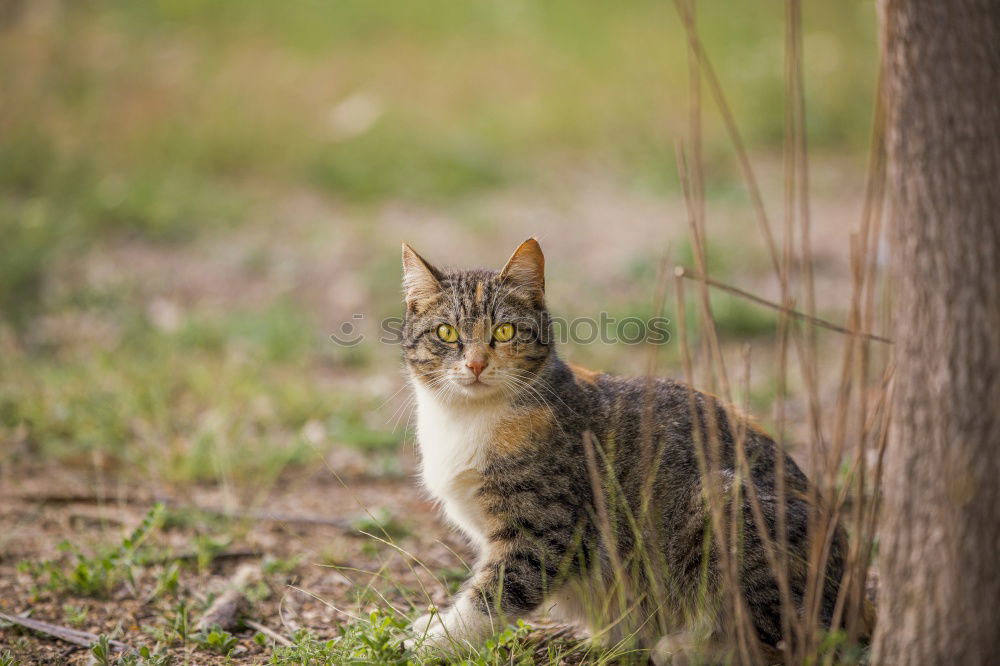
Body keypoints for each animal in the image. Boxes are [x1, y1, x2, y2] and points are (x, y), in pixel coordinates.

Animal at [398, 237, 852, 660]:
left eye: (505, 331)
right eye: (446, 333)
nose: (475, 364)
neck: (466, 418)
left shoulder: (547, 532)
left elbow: (494, 594)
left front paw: (435, 642)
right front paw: (432, 624)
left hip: (723, 506)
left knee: (783, 639)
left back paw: (685, 647)